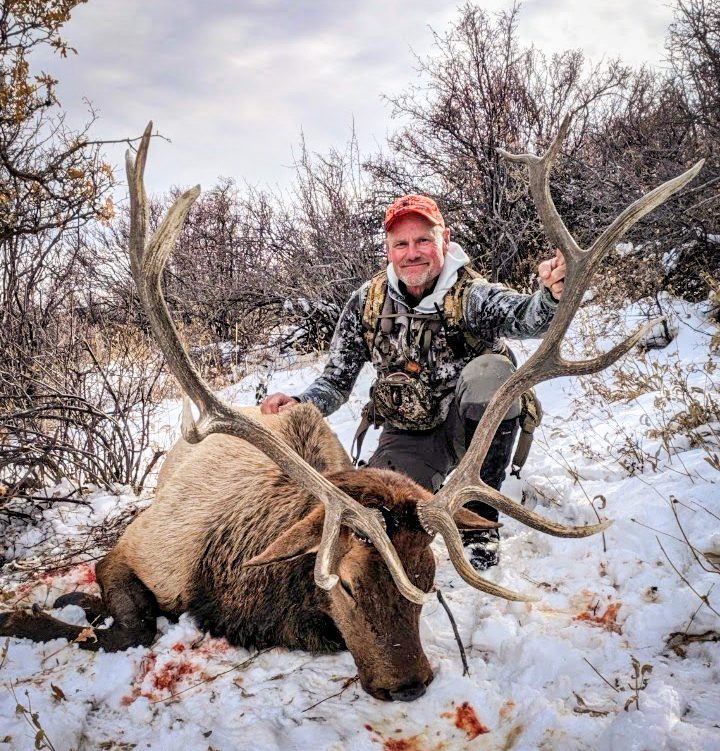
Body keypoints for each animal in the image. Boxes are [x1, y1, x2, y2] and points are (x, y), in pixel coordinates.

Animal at [0, 118, 702, 701]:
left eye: (428, 579)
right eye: (343, 581)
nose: (411, 684)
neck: (225, 581)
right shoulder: (134, 548)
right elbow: (132, 623)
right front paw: (43, 608)